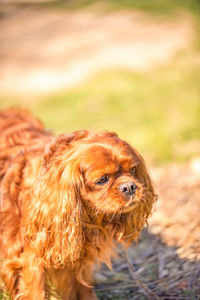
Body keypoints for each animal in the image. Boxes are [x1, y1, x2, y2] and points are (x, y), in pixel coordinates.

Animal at [0, 109, 156, 298]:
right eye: (102, 179)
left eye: (133, 170)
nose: (130, 187)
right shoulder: (31, 260)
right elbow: (36, 293)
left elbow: (82, 289)